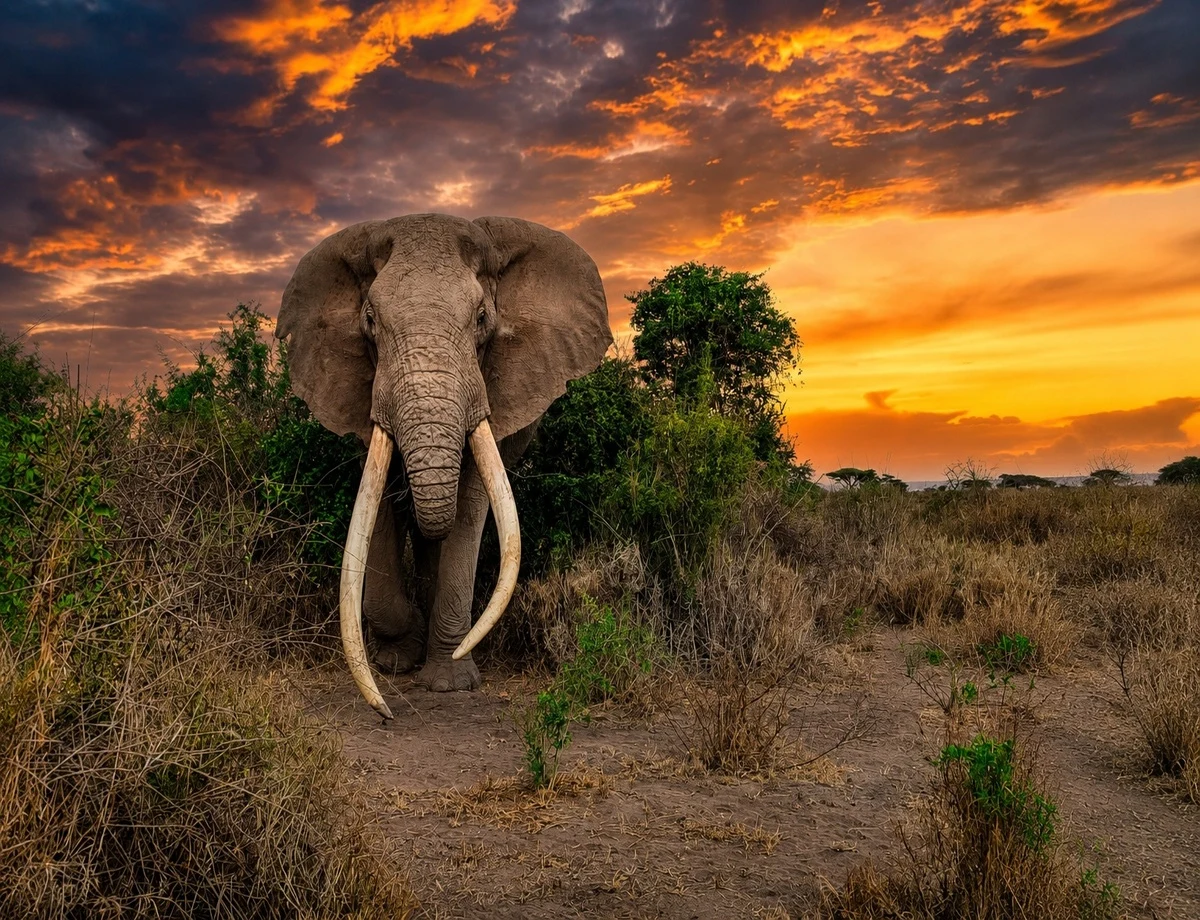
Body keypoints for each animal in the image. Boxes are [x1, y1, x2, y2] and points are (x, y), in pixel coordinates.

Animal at [276, 214, 611, 718]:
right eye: (369, 321)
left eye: (482, 319)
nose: (386, 713)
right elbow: (380, 506)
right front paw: (397, 662)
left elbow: (469, 506)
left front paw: (450, 683)